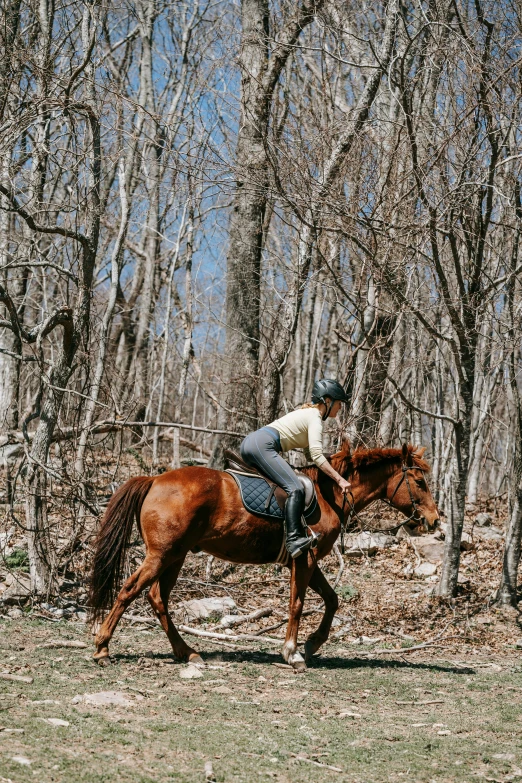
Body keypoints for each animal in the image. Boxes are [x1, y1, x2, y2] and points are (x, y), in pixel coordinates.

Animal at [89, 444, 438, 672]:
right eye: (420, 482)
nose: (434, 520)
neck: (329, 496)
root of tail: (154, 480)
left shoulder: (309, 561)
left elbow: (332, 599)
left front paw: (313, 644)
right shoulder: (304, 560)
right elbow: (297, 604)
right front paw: (293, 653)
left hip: (175, 556)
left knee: (156, 597)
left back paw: (186, 652)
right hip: (162, 555)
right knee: (129, 591)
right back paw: (102, 648)